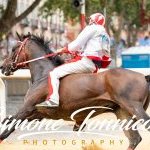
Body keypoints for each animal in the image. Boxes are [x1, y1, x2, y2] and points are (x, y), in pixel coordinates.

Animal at [0, 34, 150, 150]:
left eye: (13, 49)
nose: (3, 66)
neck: (43, 75)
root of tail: (143, 76)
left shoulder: (26, 108)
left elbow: (8, 125)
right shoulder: (38, 113)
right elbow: (9, 129)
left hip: (134, 107)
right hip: (123, 112)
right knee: (134, 139)